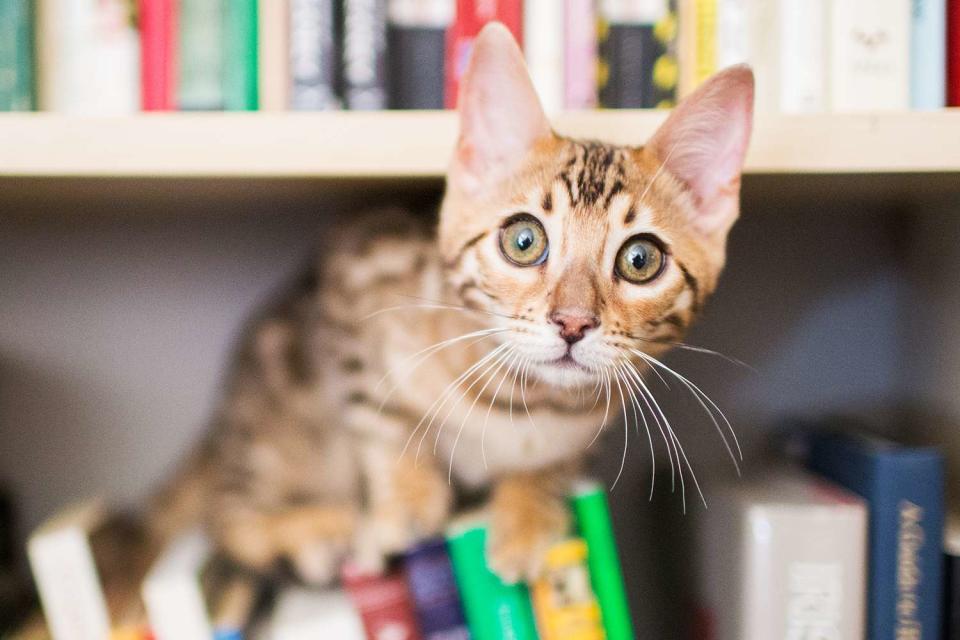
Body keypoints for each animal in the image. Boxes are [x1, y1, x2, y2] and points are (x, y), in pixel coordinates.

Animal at [150, 25, 752, 584]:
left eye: (640, 259)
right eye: (524, 240)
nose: (573, 322)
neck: (529, 403)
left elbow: (560, 461)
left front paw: (527, 512)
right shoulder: (354, 281)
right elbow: (380, 417)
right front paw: (408, 499)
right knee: (224, 516)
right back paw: (315, 528)